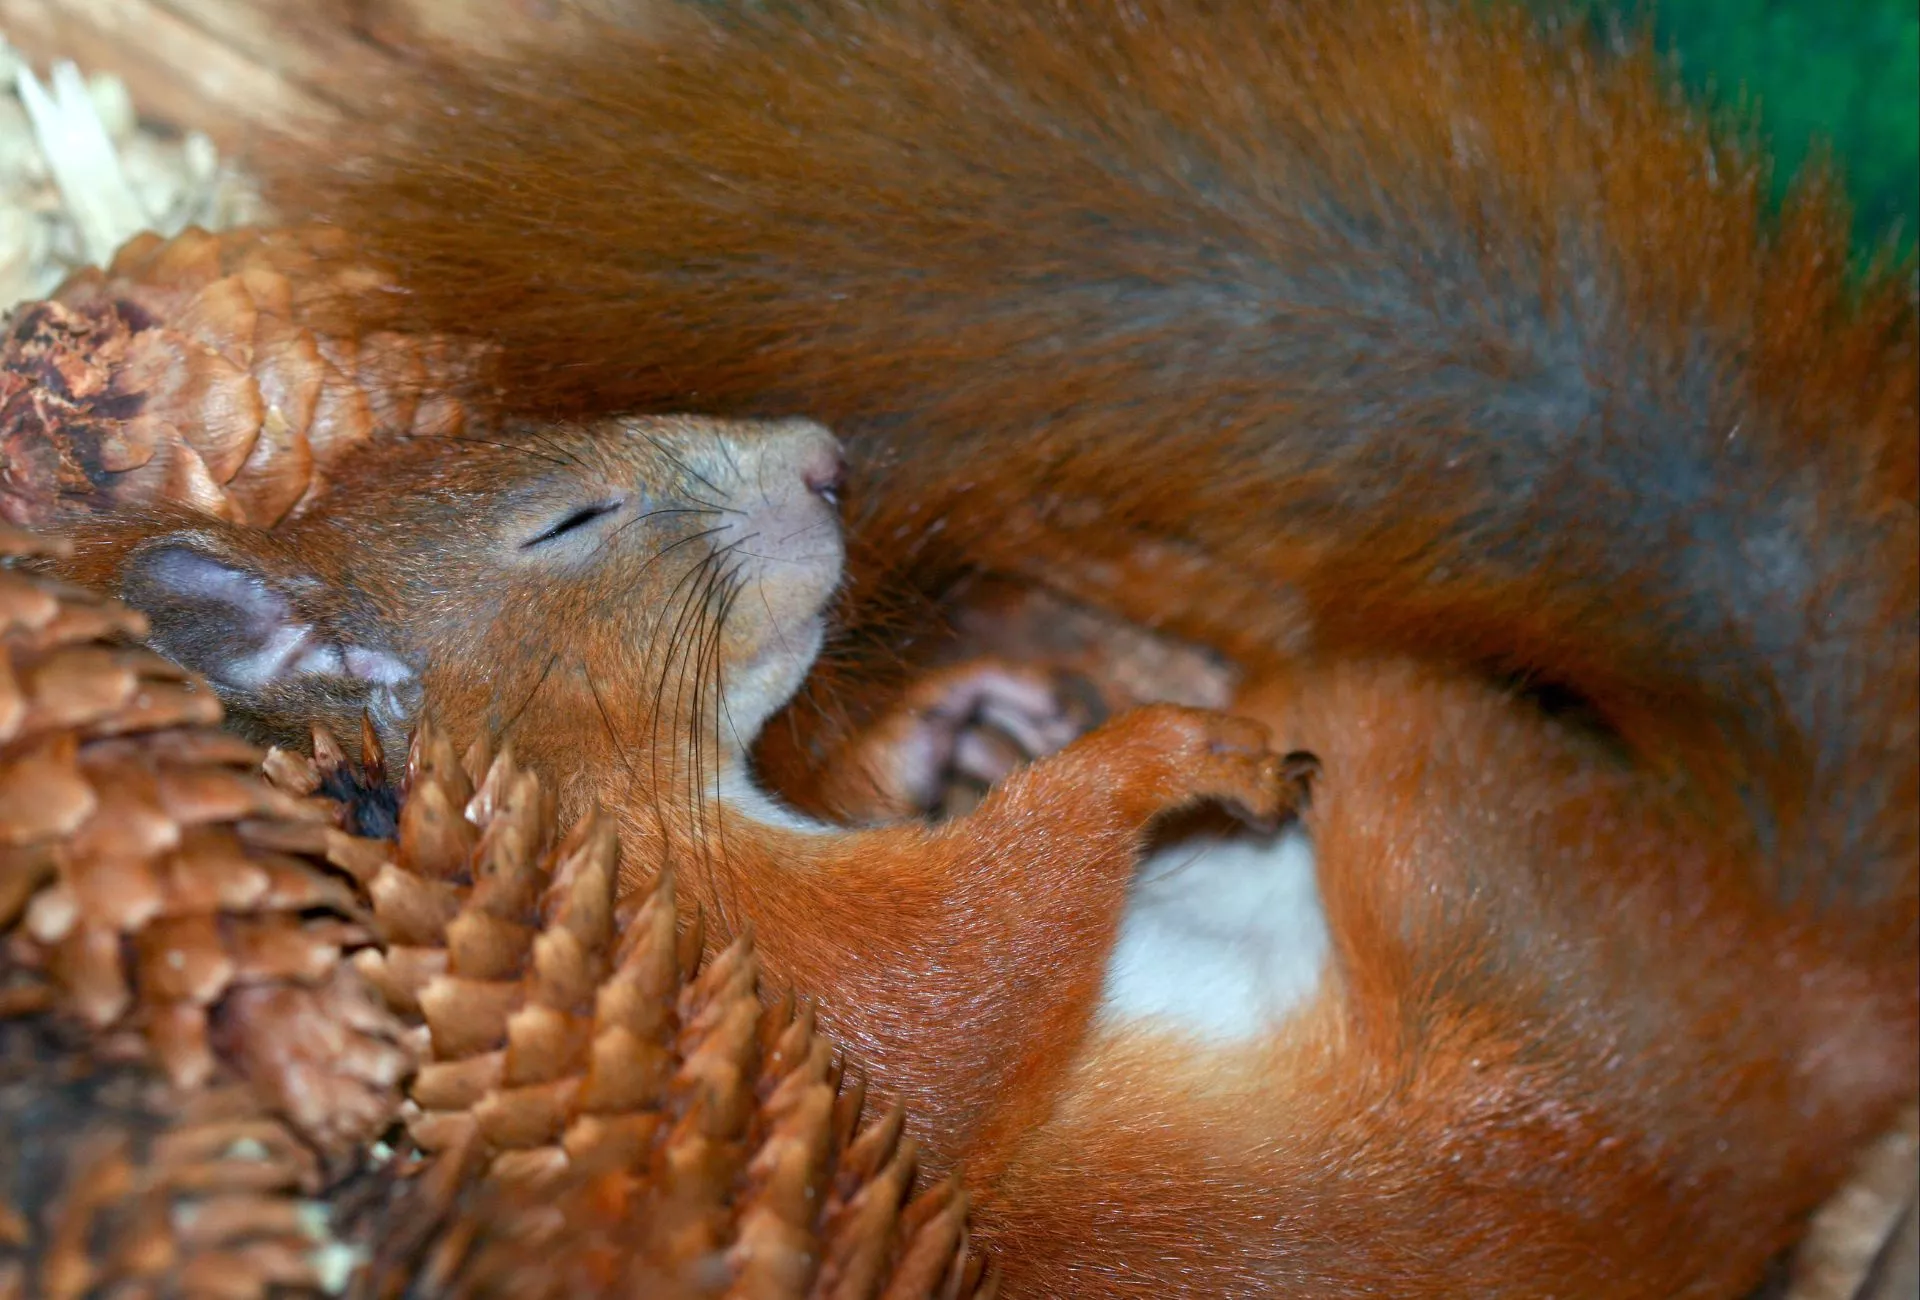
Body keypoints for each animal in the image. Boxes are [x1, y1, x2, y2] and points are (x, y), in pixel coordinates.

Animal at [51, 0, 1919, 1294]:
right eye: (567, 523)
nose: (824, 457)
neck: (592, 814)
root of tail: (1800, 992)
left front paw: (966, 729)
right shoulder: (785, 988)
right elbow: (956, 986)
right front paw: (1142, 758)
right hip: (1438, 809)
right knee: (1346, 693)